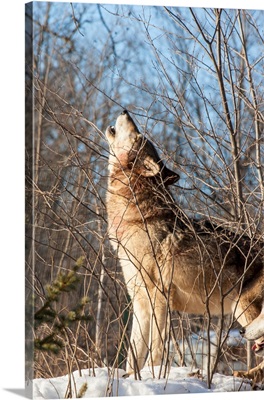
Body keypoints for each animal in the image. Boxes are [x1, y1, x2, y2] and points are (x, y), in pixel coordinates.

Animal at [105, 108, 264, 378]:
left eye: (138, 136)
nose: (125, 110)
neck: (135, 217)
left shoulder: (159, 298)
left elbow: (156, 349)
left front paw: (153, 375)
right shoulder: (140, 303)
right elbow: (132, 354)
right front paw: (131, 378)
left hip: (243, 308)